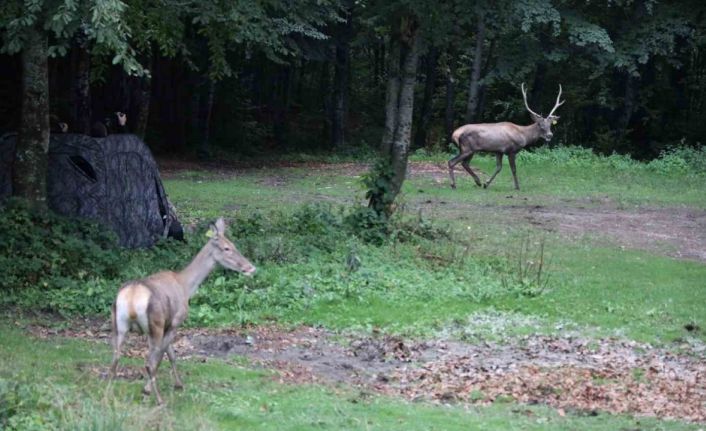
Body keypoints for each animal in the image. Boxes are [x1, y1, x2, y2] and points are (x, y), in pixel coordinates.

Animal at [108, 219, 254, 404]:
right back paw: (158, 399)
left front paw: (178, 384)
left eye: (233, 244)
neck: (186, 286)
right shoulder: (175, 322)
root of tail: (132, 298)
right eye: (227, 248)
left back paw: (109, 395)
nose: (250, 267)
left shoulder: (164, 325)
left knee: (115, 359)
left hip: (118, 323)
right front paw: (148, 389)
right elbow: (165, 356)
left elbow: (171, 354)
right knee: (149, 363)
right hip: (155, 322)